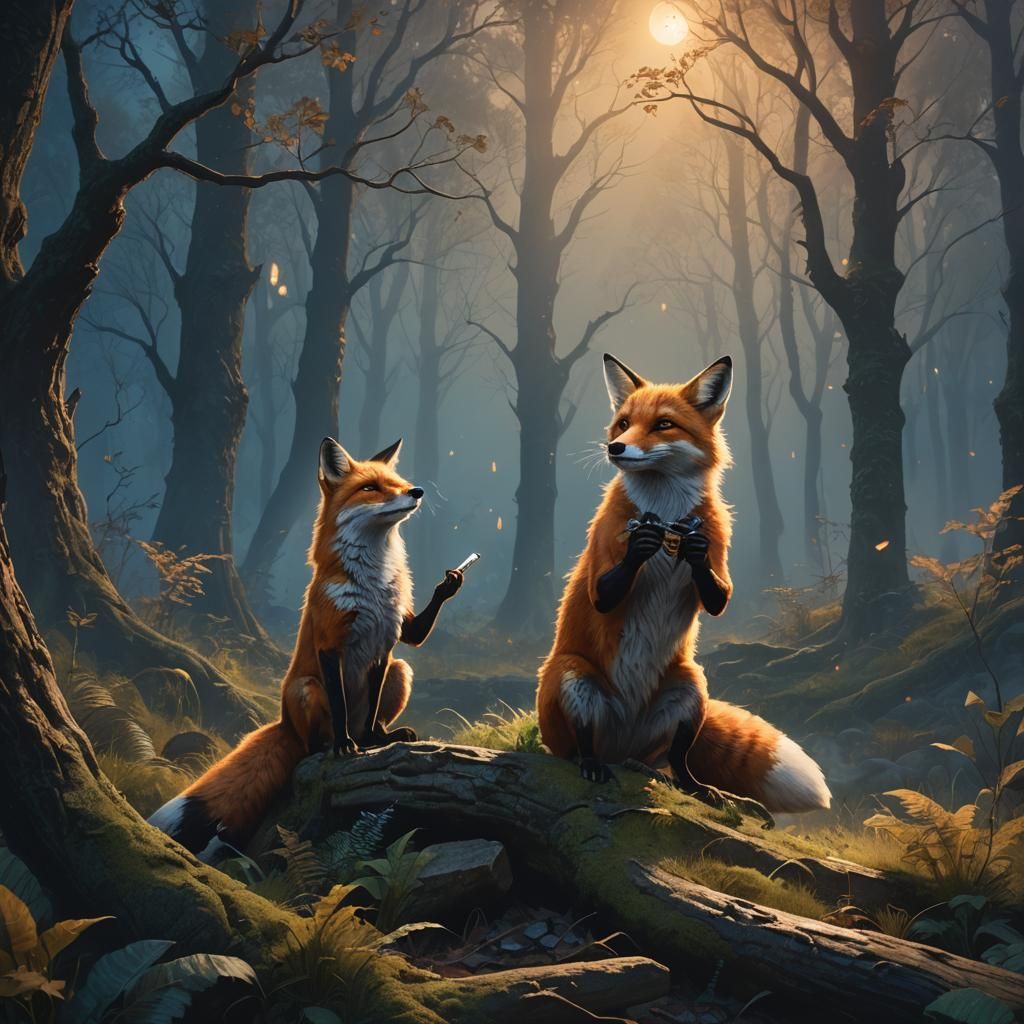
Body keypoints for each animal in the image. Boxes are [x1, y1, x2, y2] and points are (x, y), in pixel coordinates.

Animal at [148, 437, 464, 859]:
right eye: (371, 488)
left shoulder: (387, 644)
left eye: (398, 482)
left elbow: (381, 689)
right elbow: (343, 705)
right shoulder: (332, 645)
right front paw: (346, 746)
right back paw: (327, 747)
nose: (417, 491)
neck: (373, 582)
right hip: (306, 689)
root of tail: (283, 723)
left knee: (379, 709)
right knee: (309, 746)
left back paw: (385, 736)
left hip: (401, 671)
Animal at [536, 353, 831, 815]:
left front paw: (693, 551)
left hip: (692, 688)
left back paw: (699, 788)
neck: (666, 511)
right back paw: (591, 765)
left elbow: (718, 594)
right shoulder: (601, 562)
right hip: (573, 677)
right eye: (623, 423)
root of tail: (623, 747)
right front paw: (640, 543)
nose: (615, 448)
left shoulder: (718, 555)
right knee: (580, 746)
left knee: (678, 760)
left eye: (663, 424)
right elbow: (604, 591)